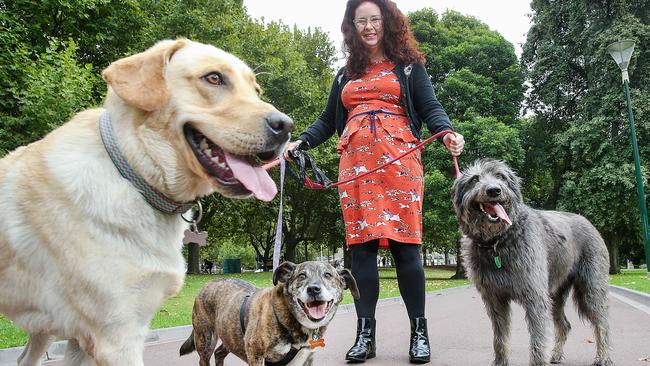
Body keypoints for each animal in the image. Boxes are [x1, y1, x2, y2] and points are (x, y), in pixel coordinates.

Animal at [454, 159, 612, 366]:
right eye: (474, 179)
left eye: (501, 176)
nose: (494, 190)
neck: (498, 242)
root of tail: (587, 221)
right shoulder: (495, 299)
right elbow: (500, 338)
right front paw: (500, 361)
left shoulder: (535, 297)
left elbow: (538, 338)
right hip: (555, 294)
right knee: (565, 325)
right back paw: (556, 354)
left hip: (590, 289)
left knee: (602, 323)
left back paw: (603, 357)